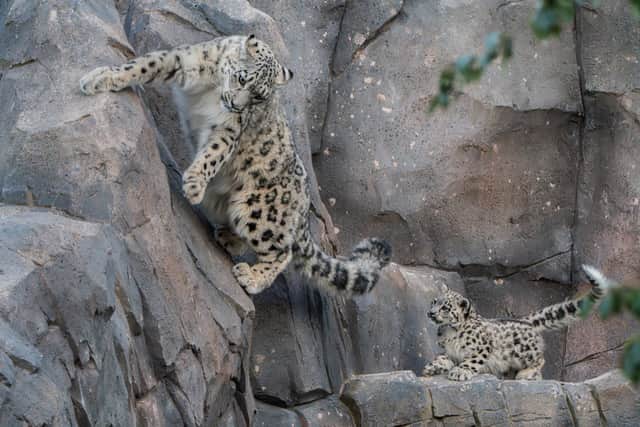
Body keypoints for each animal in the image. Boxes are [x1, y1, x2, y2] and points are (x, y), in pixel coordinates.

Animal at [79, 34, 391, 295]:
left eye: (260, 96)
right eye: (242, 79)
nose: (238, 105)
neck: (213, 87)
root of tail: (304, 207)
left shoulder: (229, 130)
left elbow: (213, 154)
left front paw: (194, 184)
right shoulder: (182, 60)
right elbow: (144, 64)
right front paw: (100, 78)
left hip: (259, 209)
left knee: (282, 252)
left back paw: (251, 277)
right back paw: (228, 238)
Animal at [422, 264, 614, 381]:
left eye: (445, 308)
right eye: (434, 301)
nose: (430, 313)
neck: (449, 333)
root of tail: (524, 321)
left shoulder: (482, 347)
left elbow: (472, 360)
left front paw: (459, 371)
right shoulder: (447, 350)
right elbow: (442, 357)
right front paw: (432, 367)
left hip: (522, 351)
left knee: (540, 358)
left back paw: (527, 374)